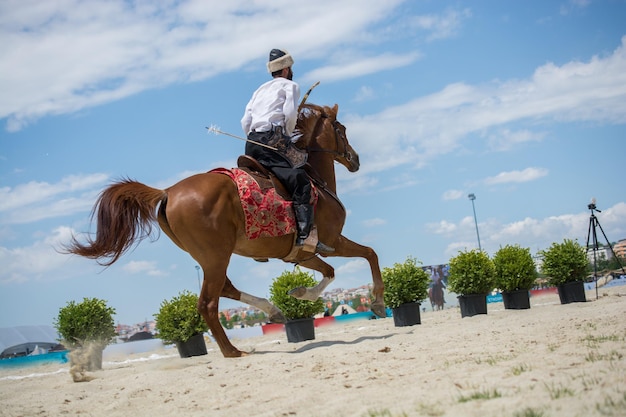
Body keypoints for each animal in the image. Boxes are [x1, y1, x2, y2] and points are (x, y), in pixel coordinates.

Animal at [64, 104, 386, 358]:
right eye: (341, 129)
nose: (355, 159)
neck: (314, 178)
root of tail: (167, 191)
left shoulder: (303, 254)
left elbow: (330, 272)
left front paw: (300, 293)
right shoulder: (332, 241)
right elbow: (369, 254)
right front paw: (378, 302)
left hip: (211, 257)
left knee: (225, 289)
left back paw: (272, 311)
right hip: (216, 256)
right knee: (208, 303)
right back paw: (232, 351)